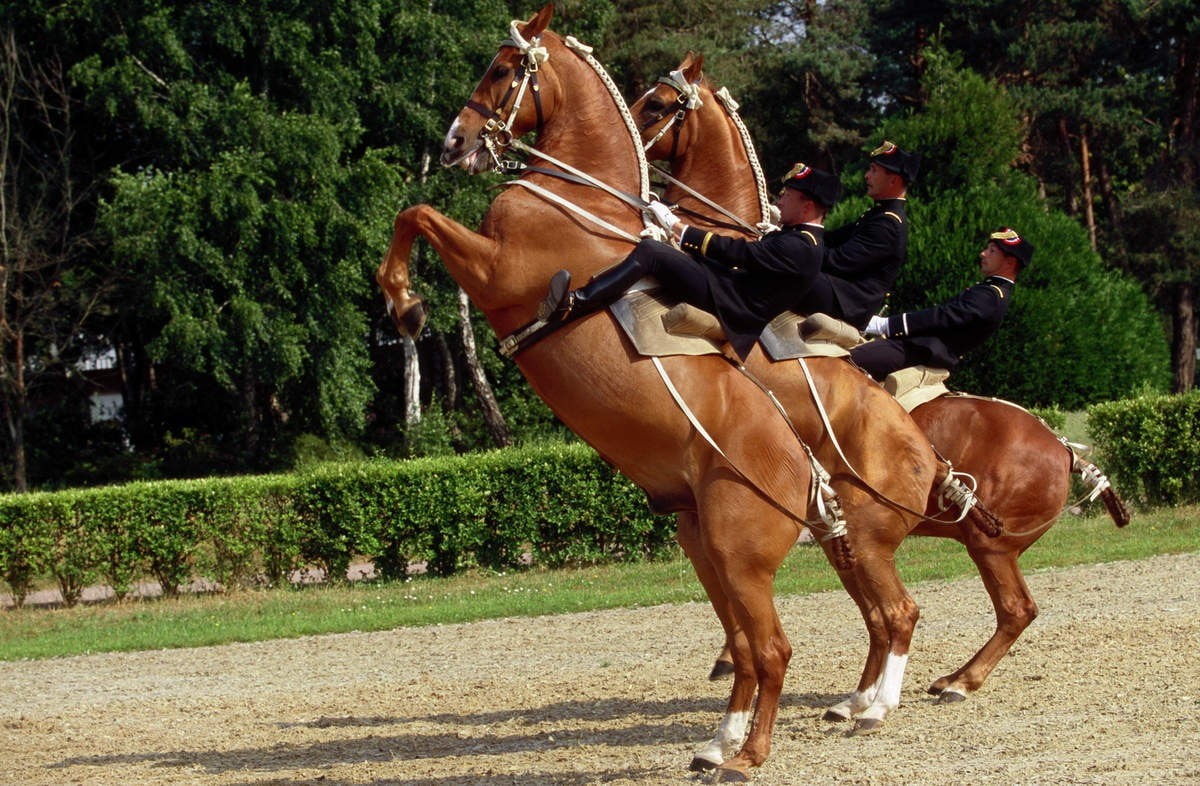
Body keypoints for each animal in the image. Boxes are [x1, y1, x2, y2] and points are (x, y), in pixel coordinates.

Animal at [377, 7, 947, 778]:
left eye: (503, 68)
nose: (455, 143)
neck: (583, 203)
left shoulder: (496, 270)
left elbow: (416, 213)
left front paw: (404, 304)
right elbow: (415, 213)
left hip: (769, 550)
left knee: (805, 638)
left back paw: (780, 740)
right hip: (728, 543)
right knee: (783, 641)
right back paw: (739, 736)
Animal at [633, 52, 1132, 707]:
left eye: (658, 105)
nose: (634, 153)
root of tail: (1064, 447)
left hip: (989, 545)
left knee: (1013, 609)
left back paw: (957, 682)